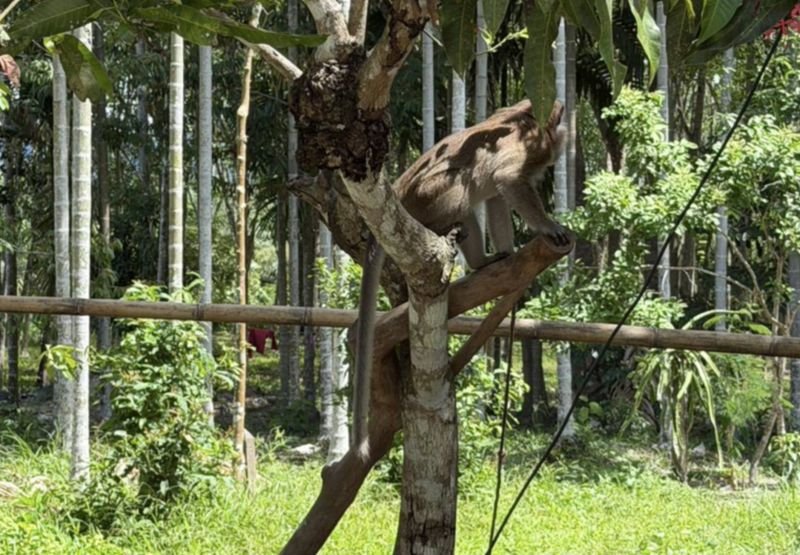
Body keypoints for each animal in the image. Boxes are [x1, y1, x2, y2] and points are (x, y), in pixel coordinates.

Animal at [351, 99, 571, 447]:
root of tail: (398, 193)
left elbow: (497, 192)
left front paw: (509, 255)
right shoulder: (531, 149)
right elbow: (508, 179)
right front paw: (548, 227)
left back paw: (484, 261)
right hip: (428, 196)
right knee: (464, 189)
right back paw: (447, 232)